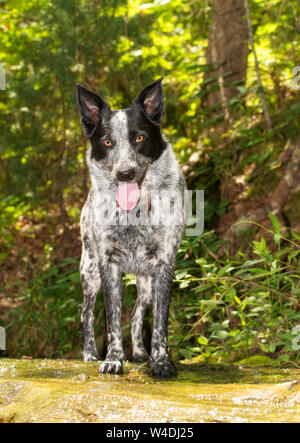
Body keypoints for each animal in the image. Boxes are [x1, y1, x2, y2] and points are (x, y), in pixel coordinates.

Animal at [76, 77, 186, 378]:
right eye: (107, 142)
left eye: (139, 138)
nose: (124, 174)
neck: (134, 213)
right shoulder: (108, 265)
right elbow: (112, 321)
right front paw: (113, 359)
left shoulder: (163, 266)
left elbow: (159, 322)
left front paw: (160, 361)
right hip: (90, 272)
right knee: (86, 312)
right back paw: (89, 354)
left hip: (145, 283)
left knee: (138, 312)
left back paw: (139, 353)